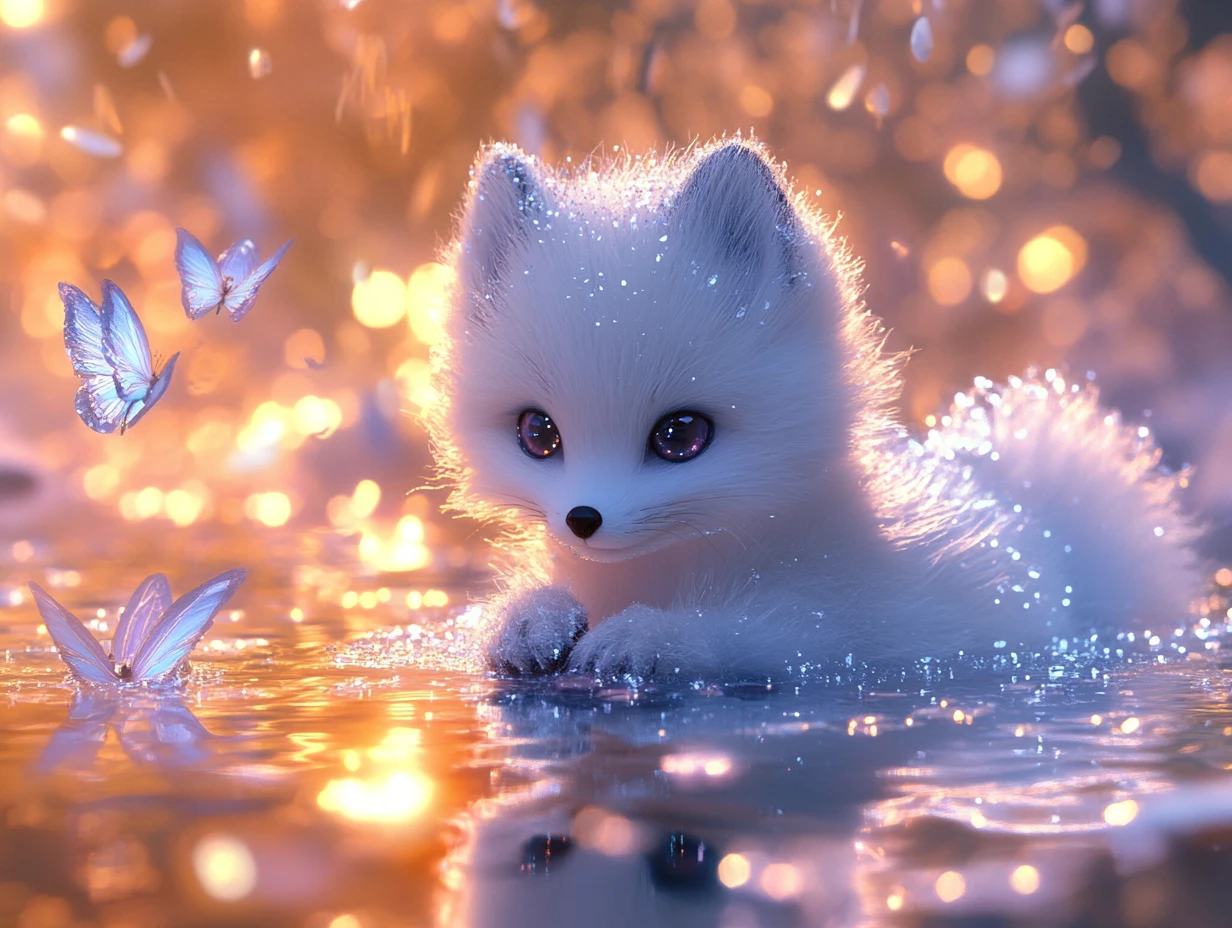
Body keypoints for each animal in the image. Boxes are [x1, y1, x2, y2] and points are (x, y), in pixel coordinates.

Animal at [423, 137, 1206, 682]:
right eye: (538, 433)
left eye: (681, 435)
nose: (583, 521)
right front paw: (529, 622)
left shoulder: (863, 628)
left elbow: (767, 631)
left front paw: (645, 636)